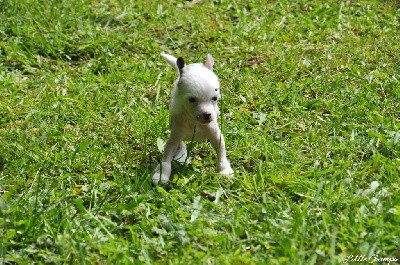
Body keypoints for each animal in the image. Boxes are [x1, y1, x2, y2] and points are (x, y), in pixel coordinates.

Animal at [153, 51, 234, 184]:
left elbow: (221, 149)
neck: (194, 121)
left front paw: (224, 169)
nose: (207, 114)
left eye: (215, 98)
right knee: (181, 144)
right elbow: (167, 155)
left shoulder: (215, 133)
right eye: (192, 100)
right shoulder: (175, 135)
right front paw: (161, 175)